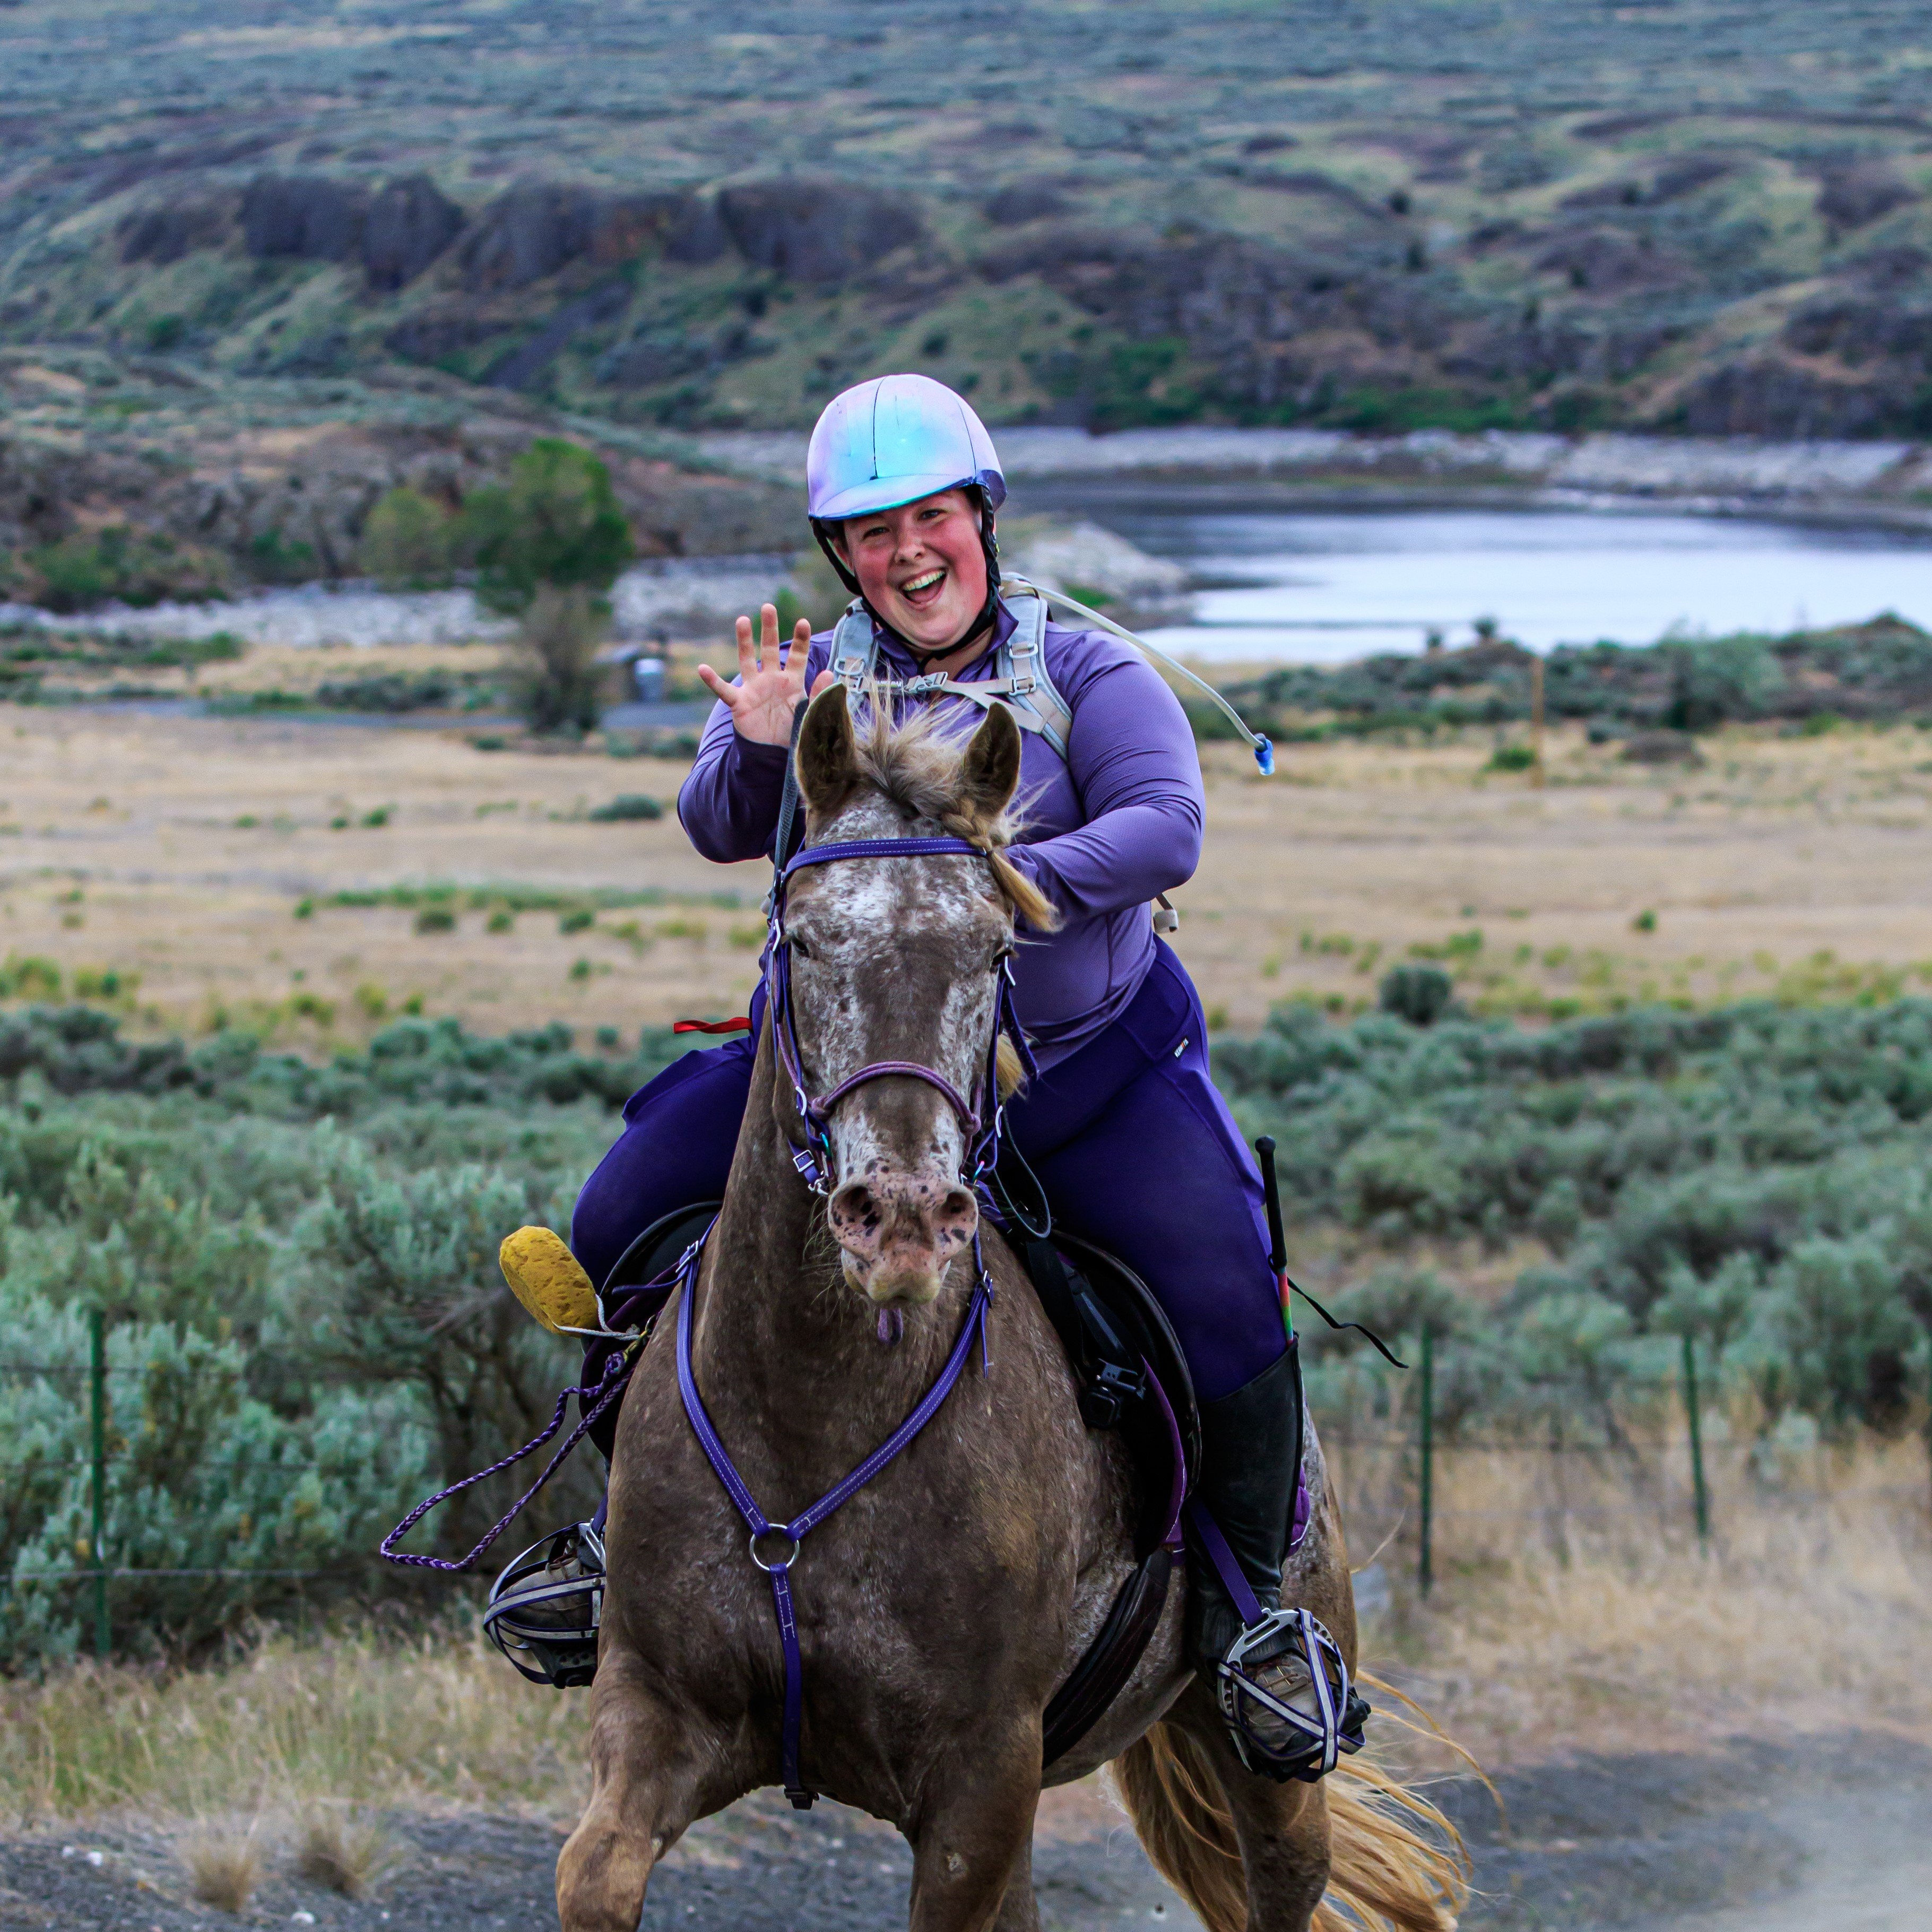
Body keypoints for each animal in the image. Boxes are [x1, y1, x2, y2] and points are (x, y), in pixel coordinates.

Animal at [552, 695, 1453, 1932]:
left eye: (994, 948)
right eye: (803, 938)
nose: (900, 1217)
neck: (810, 1419)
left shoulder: (977, 1777)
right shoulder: (654, 1704)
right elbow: (594, 1875)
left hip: (1261, 1761)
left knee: (1282, 1871)